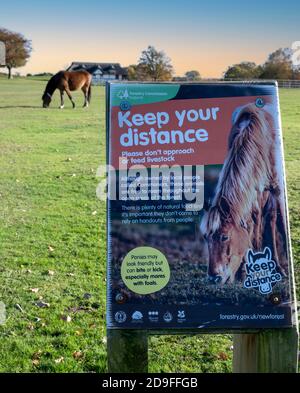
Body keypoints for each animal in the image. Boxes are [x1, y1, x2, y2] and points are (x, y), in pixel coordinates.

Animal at [200, 102, 288, 284]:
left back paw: (279, 267)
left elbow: (279, 226)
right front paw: (243, 273)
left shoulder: (276, 189)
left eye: (224, 237)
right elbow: (250, 229)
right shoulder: (250, 195)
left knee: (273, 219)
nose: (213, 278)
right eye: (205, 237)